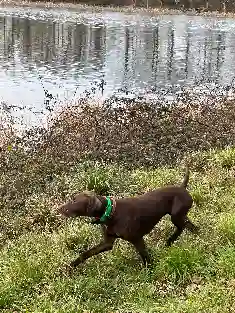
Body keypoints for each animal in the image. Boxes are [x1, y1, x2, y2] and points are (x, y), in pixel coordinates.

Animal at [57, 167, 197, 266]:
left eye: (75, 201)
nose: (59, 209)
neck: (111, 212)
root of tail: (182, 187)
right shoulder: (107, 243)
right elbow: (86, 253)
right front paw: (71, 266)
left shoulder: (137, 238)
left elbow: (145, 256)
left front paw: (150, 271)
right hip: (179, 216)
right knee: (188, 226)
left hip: (176, 216)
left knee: (186, 226)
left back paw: (176, 240)